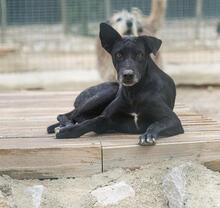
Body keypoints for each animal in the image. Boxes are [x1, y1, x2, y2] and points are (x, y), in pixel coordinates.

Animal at [46, 22, 184, 145]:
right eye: (118, 55)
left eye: (140, 54)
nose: (128, 75)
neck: (134, 92)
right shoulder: (106, 118)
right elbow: (89, 123)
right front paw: (68, 131)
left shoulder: (173, 120)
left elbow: (156, 123)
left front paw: (147, 136)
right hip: (105, 94)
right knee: (68, 115)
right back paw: (66, 125)